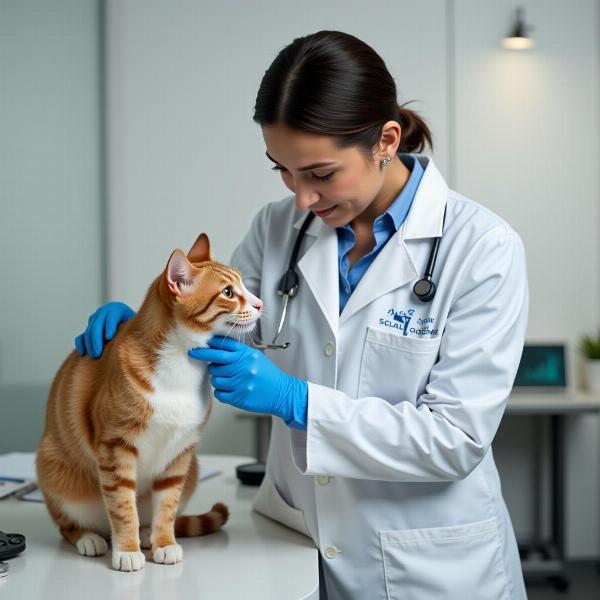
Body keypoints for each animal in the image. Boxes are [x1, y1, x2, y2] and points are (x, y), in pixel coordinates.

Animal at [35, 231, 262, 572]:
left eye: (244, 286)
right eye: (228, 292)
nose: (260, 303)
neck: (182, 366)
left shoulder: (180, 454)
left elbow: (167, 507)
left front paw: (164, 543)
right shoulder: (115, 447)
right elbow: (121, 506)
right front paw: (127, 550)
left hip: (193, 468)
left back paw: (146, 534)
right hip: (53, 469)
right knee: (70, 525)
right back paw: (91, 538)